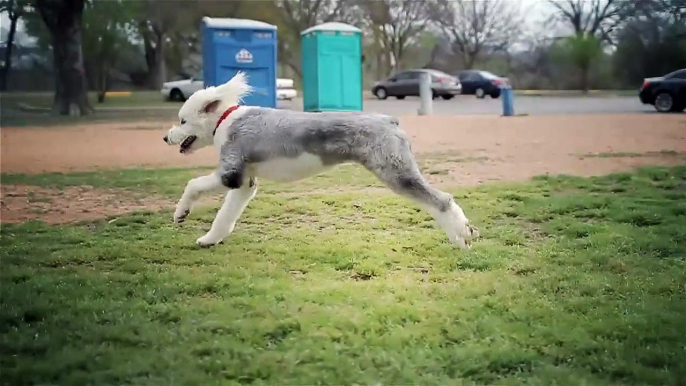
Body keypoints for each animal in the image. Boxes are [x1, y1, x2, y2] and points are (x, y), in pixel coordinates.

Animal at [165, 71, 482, 249]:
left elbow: (193, 184)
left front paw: (181, 213)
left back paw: (461, 237)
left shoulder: (230, 173)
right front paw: (210, 239)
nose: (166, 138)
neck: (226, 120)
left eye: (182, 120)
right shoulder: (245, 182)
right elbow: (225, 216)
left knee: (442, 201)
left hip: (395, 172)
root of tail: (389, 120)